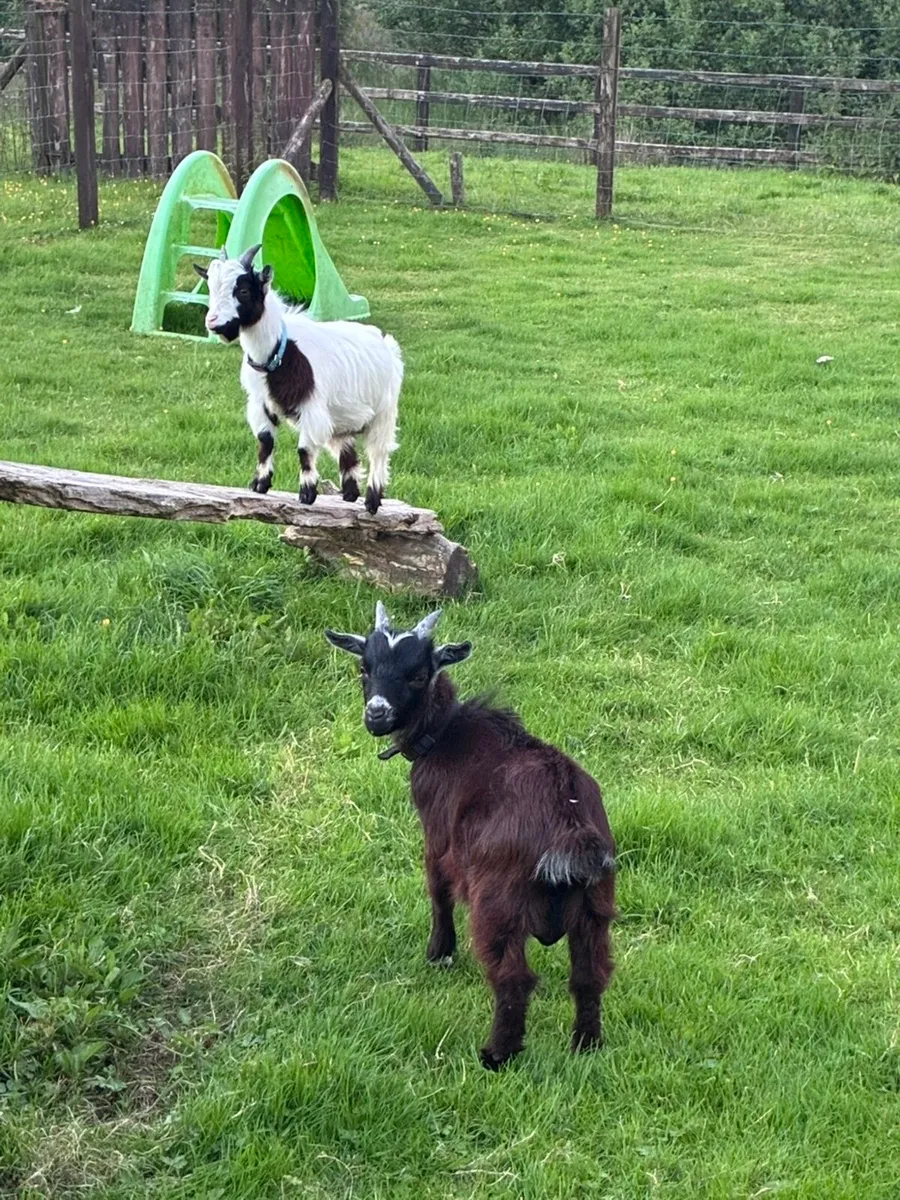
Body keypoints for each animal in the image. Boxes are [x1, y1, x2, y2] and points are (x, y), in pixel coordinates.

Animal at [194, 245, 403, 514]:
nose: (213, 322)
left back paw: (372, 501)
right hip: (340, 418)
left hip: (383, 413)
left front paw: (307, 493)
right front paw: (259, 484)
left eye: (242, 290)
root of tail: (386, 343)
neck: (278, 352)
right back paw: (349, 493)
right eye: (210, 286)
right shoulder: (260, 403)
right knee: (347, 449)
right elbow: (265, 441)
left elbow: (304, 450)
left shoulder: (311, 407)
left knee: (379, 452)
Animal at [325, 603, 616, 1069]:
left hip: (497, 903)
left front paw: (439, 953)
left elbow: (437, 890)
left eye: (417, 675)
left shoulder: (437, 835)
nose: (376, 714)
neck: (443, 734)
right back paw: (586, 1045)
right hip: (596, 905)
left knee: (514, 978)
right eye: (364, 668)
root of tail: (568, 827)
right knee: (590, 975)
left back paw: (497, 1054)